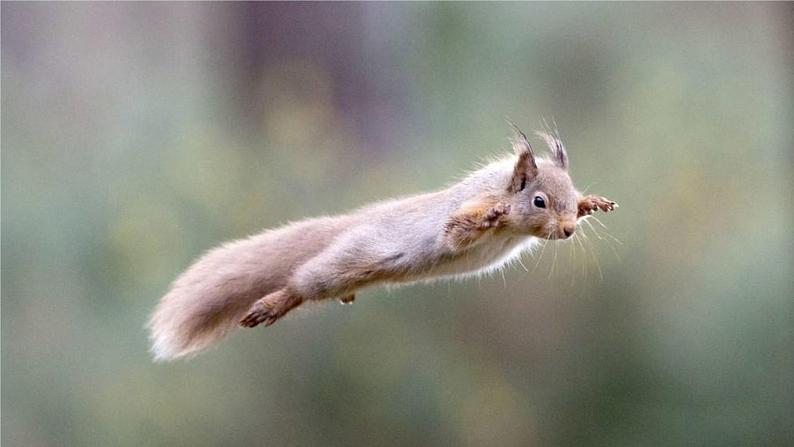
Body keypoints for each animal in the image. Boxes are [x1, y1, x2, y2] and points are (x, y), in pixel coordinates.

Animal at [150, 122, 620, 360]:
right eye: (539, 201)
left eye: (570, 190)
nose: (568, 229)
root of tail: (349, 224)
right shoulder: (455, 218)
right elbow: (456, 230)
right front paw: (491, 215)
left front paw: (592, 203)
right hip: (348, 258)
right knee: (304, 279)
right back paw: (274, 303)